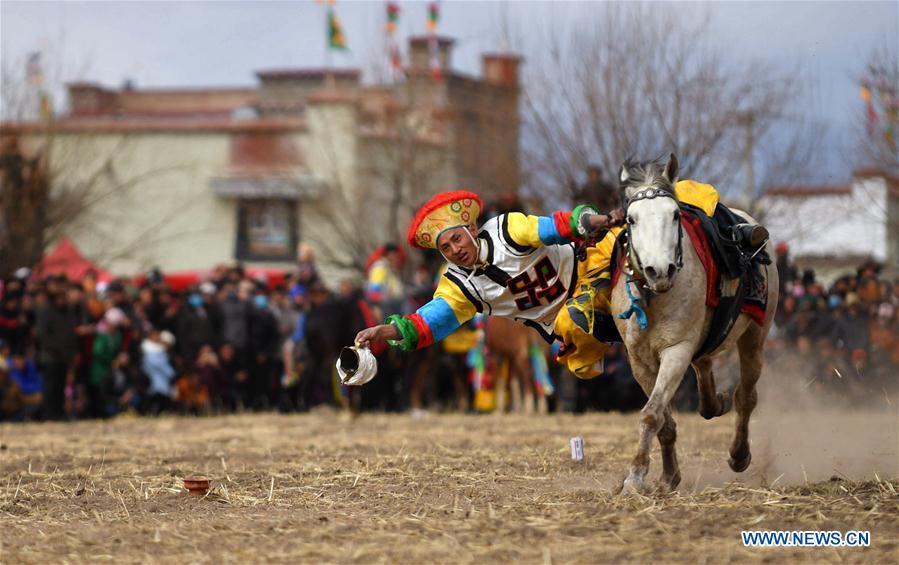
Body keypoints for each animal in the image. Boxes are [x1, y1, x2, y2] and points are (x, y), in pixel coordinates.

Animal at [612, 155, 780, 494]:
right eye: (631, 219)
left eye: (675, 215)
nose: (659, 269)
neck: (654, 296)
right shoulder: (638, 360)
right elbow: (663, 420)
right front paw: (667, 477)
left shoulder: (676, 351)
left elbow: (651, 415)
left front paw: (635, 476)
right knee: (705, 371)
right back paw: (715, 402)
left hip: (755, 337)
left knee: (746, 397)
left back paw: (739, 453)